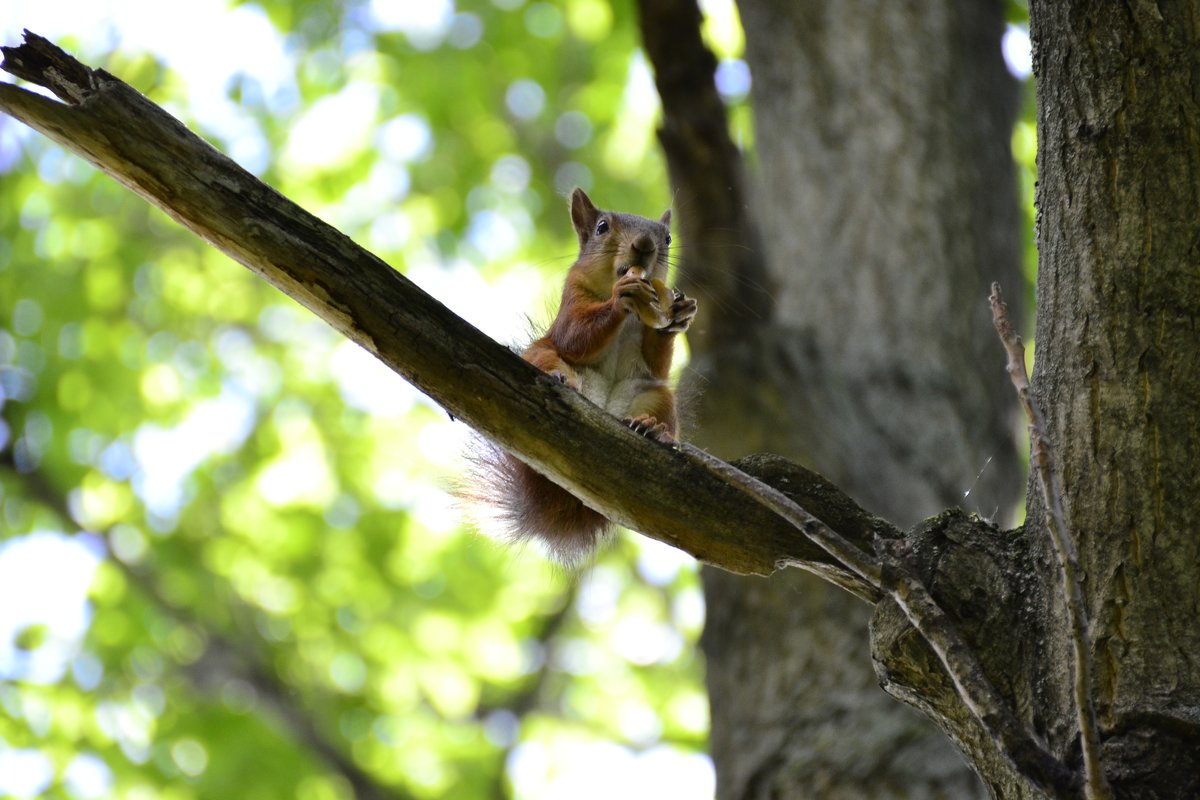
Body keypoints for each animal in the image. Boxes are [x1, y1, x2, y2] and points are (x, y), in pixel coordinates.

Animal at [463, 188, 700, 563]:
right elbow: (576, 336)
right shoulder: (571, 299)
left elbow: (657, 363)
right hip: (542, 354)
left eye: (667, 238)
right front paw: (621, 296)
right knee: (553, 361)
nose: (645, 244)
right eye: (602, 227)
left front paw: (680, 314)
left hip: (656, 396)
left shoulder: (653, 367)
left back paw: (653, 429)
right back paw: (562, 381)